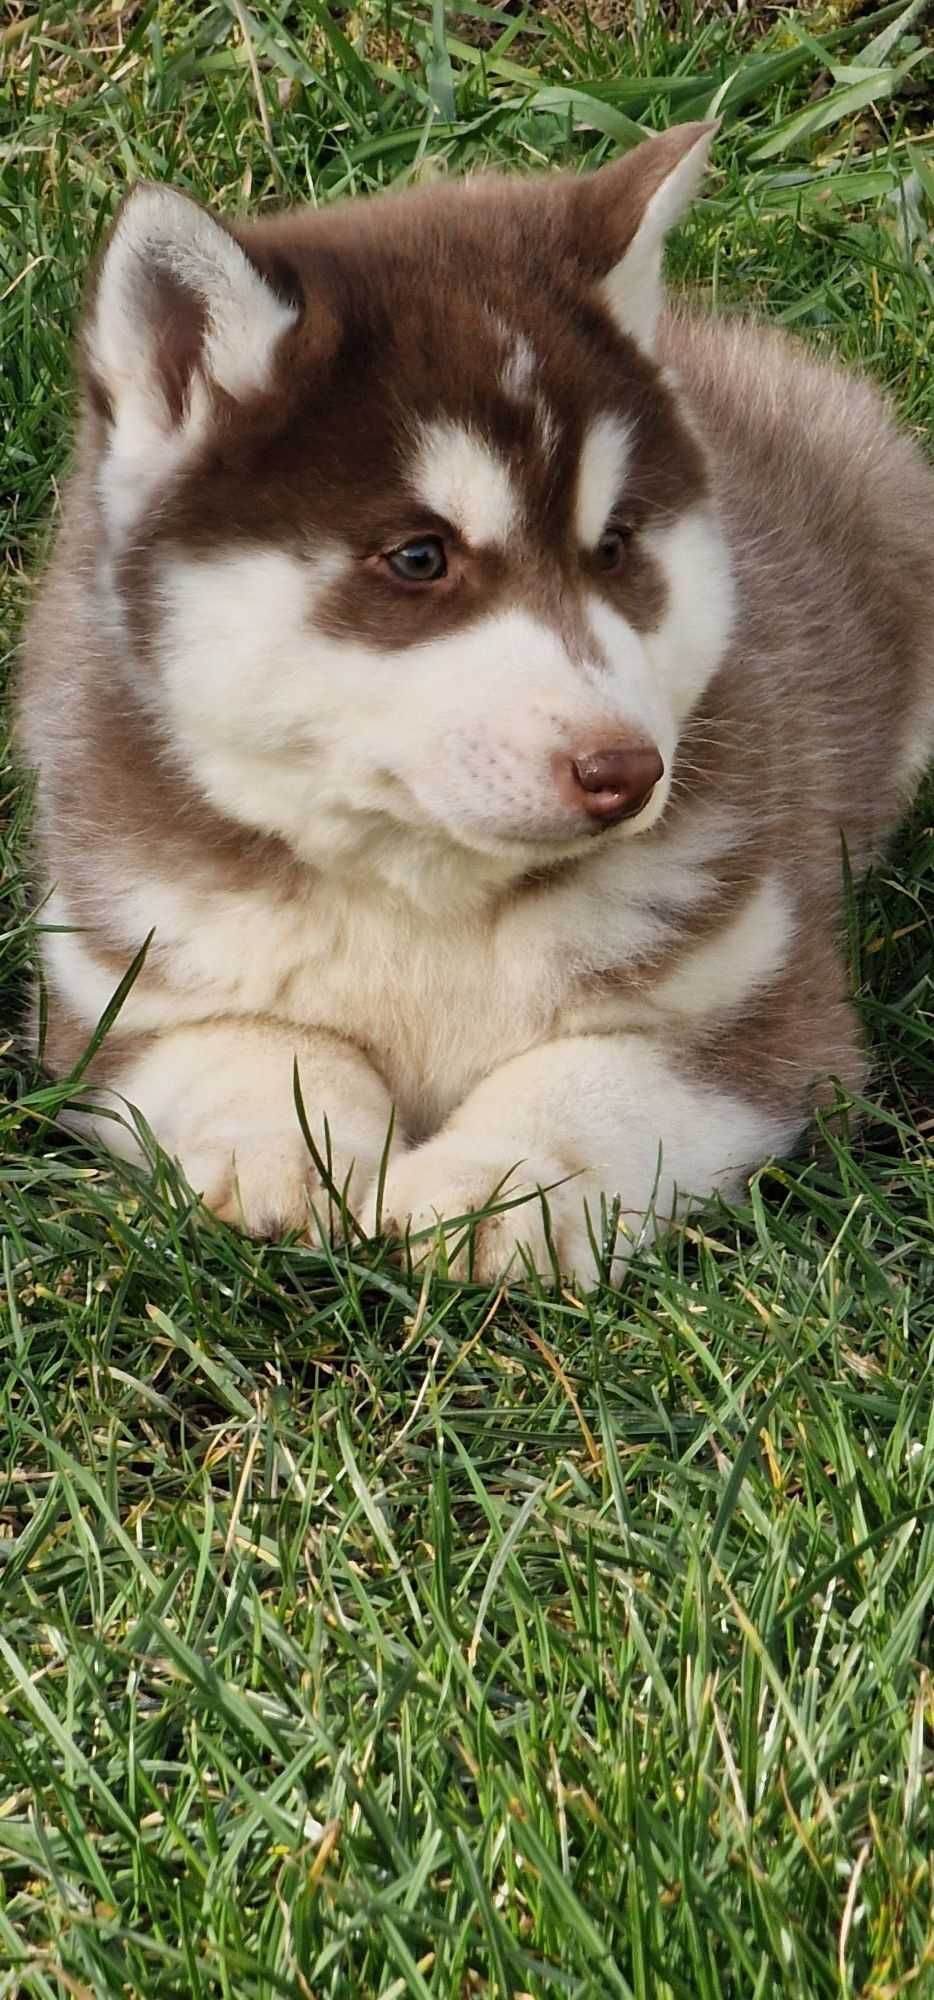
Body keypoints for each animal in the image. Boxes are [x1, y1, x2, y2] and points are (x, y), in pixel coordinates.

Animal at [16, 125, 934, 1280]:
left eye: (615, 547)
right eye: (420, 557)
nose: (628, 773)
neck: (422, 899)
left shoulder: (762, 1003)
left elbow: (598, 1084)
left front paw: (497, 1187)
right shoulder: (117, 989)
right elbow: (250, 1048)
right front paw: (280, 1153)